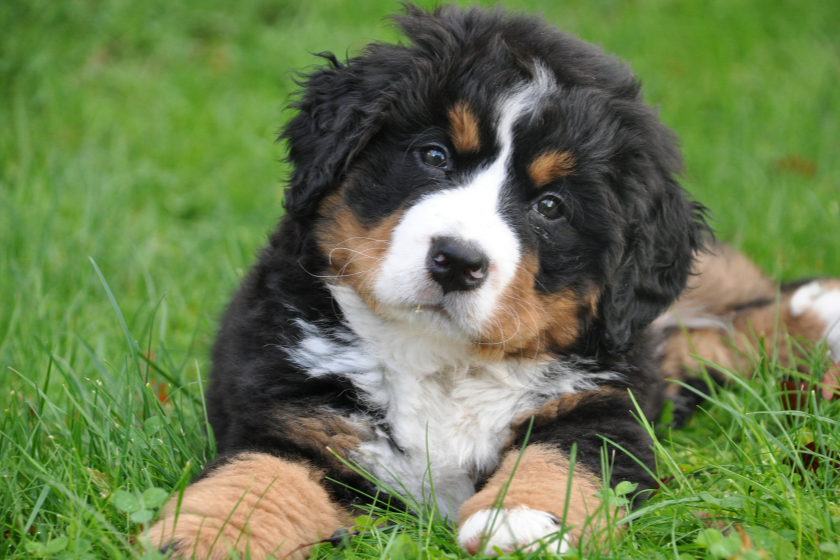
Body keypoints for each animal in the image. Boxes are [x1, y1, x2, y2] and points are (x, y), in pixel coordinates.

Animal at [148, 4, 840, 560]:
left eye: (551, 206)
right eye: (433, 156)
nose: (457, 260)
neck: (443, 362)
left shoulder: (605, 407)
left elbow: (558, 458)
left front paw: (520, 519)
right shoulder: (292, 410)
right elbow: (258, 480)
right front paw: (205, 533)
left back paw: (819, 314)